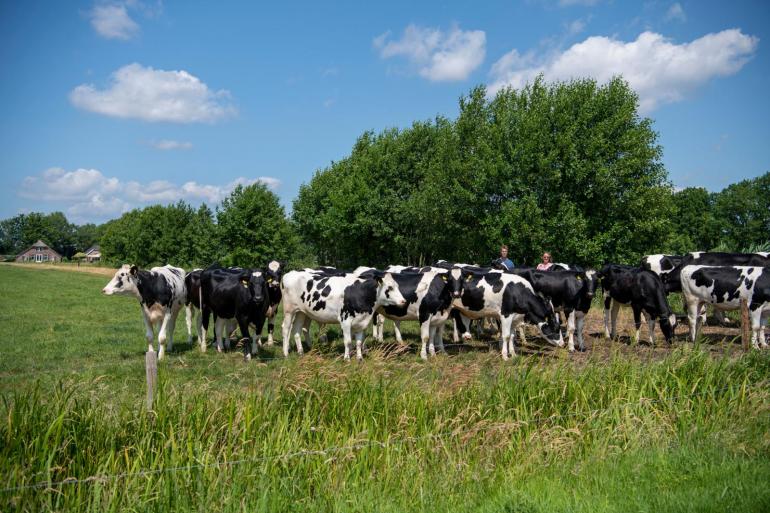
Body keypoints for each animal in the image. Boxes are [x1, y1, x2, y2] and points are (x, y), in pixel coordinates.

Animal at [280, 268, 408, 360]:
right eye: (389, 288)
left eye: (397, 286)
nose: (403, 301)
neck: (360, 292)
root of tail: (291, 273)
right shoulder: (345, 320)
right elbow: (348, 341)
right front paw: (347, 358)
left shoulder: (361, 321)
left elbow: (359, 342)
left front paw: (359, 358)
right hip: (289, 310)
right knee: (286, 329)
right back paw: (286, 353)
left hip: (301, 312)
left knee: (297, 330)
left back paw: (301, 352)